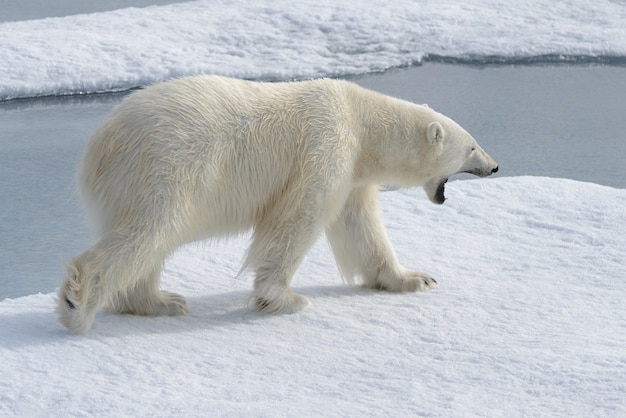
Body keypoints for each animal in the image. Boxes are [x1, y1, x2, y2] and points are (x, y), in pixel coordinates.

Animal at [58, 75, 498, 334]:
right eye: (472, 146)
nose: (494, 166)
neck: (360, 117)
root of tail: (99, 147)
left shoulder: (354, 173)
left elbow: (361, 227)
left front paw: (414, 278)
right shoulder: (326, 146)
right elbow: (298, 217)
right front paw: (284, 299)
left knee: (151, 243)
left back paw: (162, 301)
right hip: (167, 167)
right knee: (148, 230)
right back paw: (77, 305)